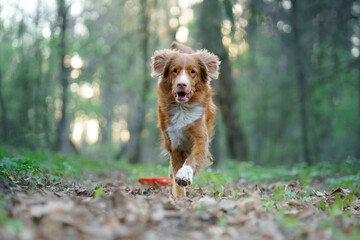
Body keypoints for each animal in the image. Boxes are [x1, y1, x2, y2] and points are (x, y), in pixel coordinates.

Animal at [151, 42, 221, 198]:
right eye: (174, 70)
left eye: (193, 71)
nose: (181, 84)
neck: (182, 109)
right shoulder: (175, 142)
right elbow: (176, 165)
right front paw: (179, 196)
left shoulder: (201, 138)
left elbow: (192, 158)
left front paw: (184, 174)